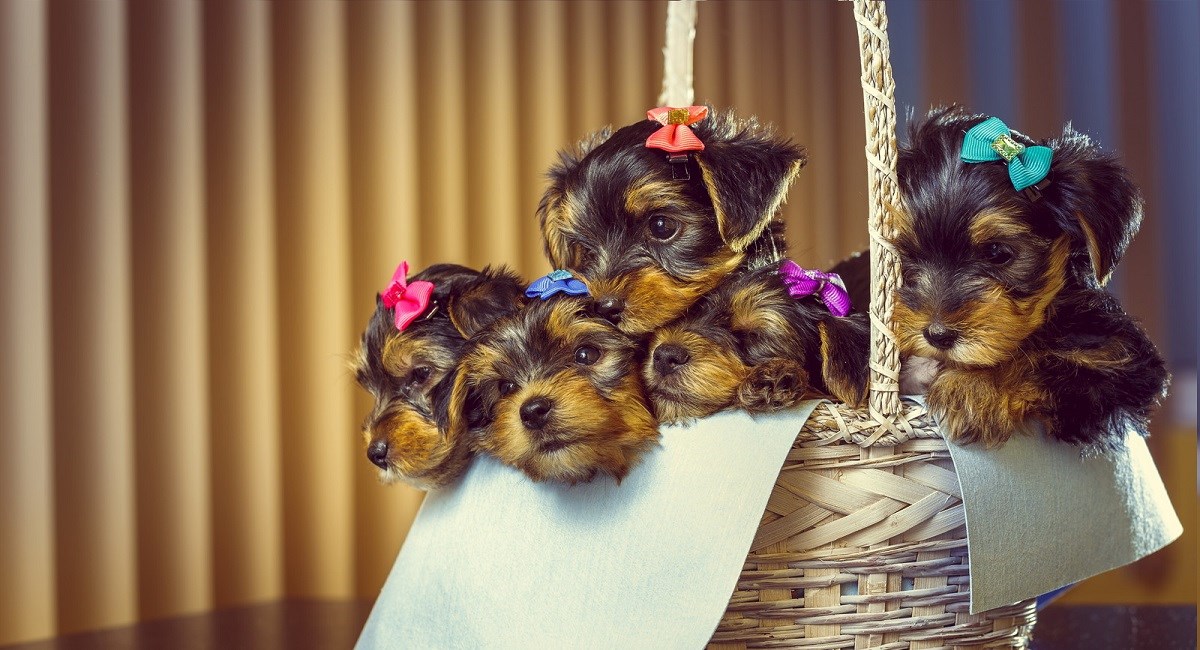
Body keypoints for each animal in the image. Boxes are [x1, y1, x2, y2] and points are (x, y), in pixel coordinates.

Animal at [897, 108, 1166, 453]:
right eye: (907, 256)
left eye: (998, 253)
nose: (937, 334)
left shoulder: (1122, 360)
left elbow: (1045, 361)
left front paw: (974, 387)